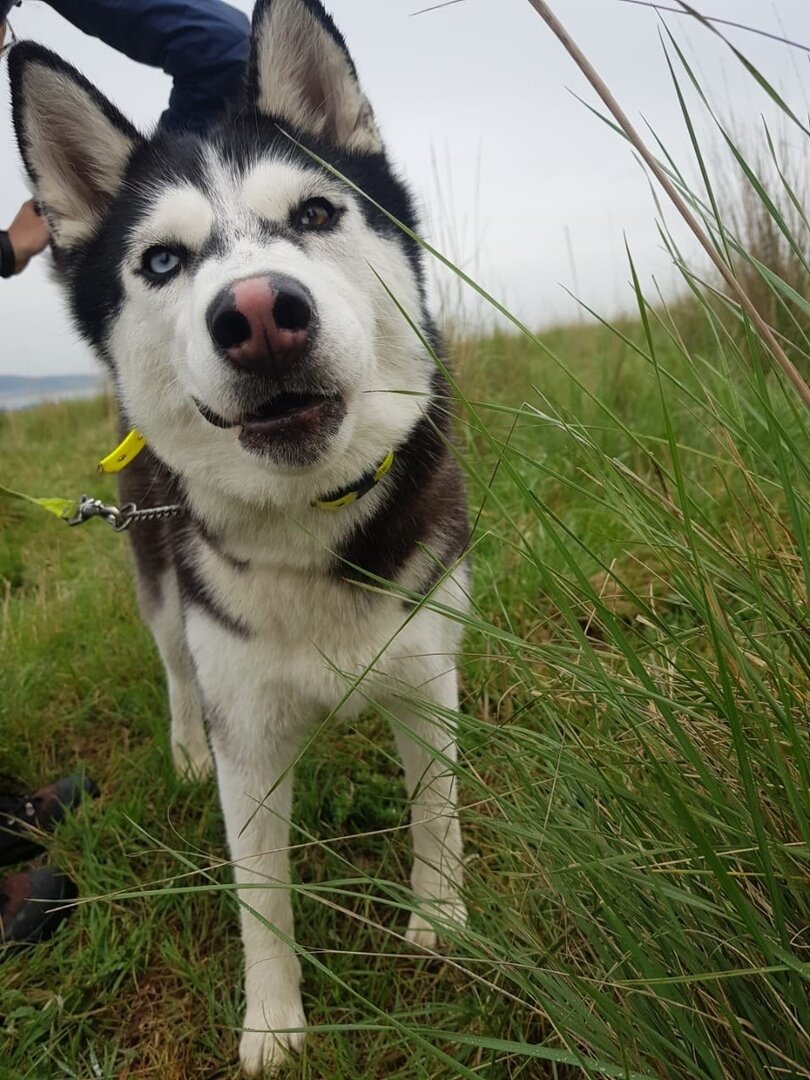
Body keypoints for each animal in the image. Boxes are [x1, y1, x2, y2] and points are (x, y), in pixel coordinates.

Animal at [9, 0, 468, 1071]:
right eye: (162, 262)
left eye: (315, 215)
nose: (259, 312)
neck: (308, 522)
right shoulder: (248, 742)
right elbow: (262, 901)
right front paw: (273, 1027)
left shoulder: (429, 676)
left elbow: (436, 818)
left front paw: (441, 928)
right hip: (158, 578)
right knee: (177, 670)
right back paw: (181, 749)